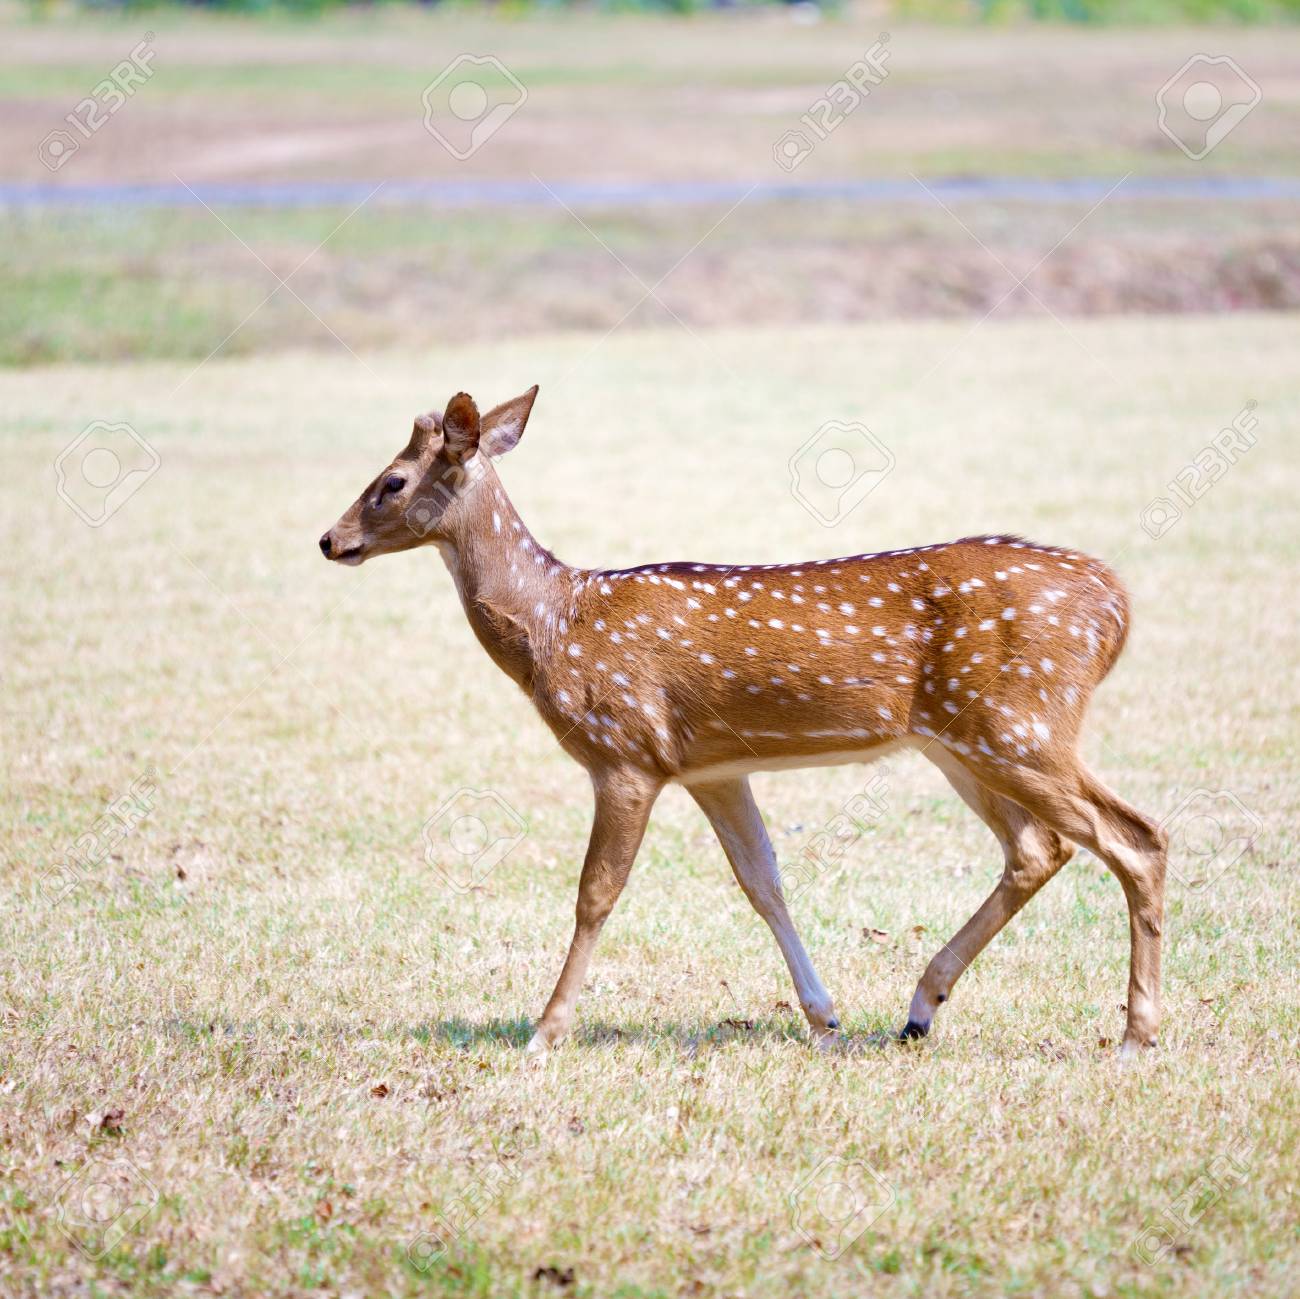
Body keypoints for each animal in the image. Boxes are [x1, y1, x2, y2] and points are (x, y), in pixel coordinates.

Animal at [320, 386, 1167, 1059]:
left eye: (392, 481)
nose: (330, 539)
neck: (557, 622)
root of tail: (1116, 603)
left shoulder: (625, 753)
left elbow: (596, 894)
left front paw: (545, 1030)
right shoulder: (714, 768)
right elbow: (763, 882)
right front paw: (824, 1019)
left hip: (1020, 723)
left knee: (1135, 835)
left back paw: (1135, 1036)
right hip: (965, 739)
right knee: (1038, 845)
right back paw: (920, 1009)